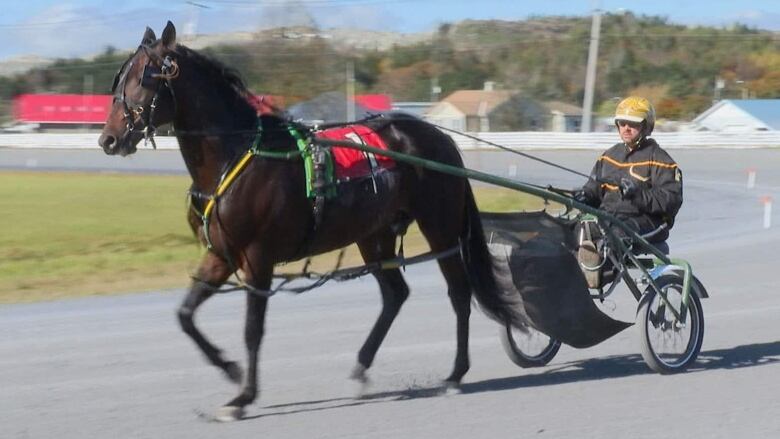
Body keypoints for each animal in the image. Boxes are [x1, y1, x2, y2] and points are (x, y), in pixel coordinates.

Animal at [96, 21, 524, 422]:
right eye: (120, 78)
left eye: (144, 77)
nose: (109, 139)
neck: (236, 154)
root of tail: (440, 138)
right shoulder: (221, 254)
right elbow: (185, 315)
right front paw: (230, 370)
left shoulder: (257, 258)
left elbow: (253, 330)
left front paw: (243, 396)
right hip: (374, 234)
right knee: (395, 294)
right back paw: (361, 367)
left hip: (439, 226)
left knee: (459, 292)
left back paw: (455, 373)